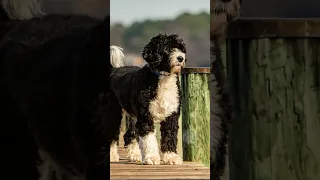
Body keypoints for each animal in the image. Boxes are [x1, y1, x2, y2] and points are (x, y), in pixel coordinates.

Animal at [109, 33, 186, 165]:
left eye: (181, 48)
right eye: (167, 48)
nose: (181, 58)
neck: (163, 78)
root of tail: (114, 69)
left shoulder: (172, 114)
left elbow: (169, 135)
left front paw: (171, 157)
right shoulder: (145, 115)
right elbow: (148, 138)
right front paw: (152, 157)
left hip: (133, 116)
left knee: (129, 135)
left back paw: (134, 155)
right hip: (114, 112)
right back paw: (112, 155)